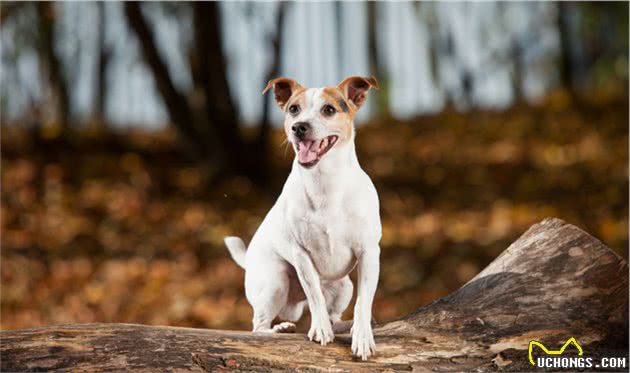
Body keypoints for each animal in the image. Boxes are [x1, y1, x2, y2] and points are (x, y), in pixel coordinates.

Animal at [227, 76, 386, 360]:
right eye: (293, 109)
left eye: (329, 110)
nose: (299, 127)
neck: (325, 182)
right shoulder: (301, 254)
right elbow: (315, 296)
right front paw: (320, 329)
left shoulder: (368, 253)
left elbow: (363, 302)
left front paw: (362, 335)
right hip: (275, 280)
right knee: (258, 326)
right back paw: (280, 329)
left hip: (343, 286)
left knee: (336, 313)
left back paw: (341, 324)